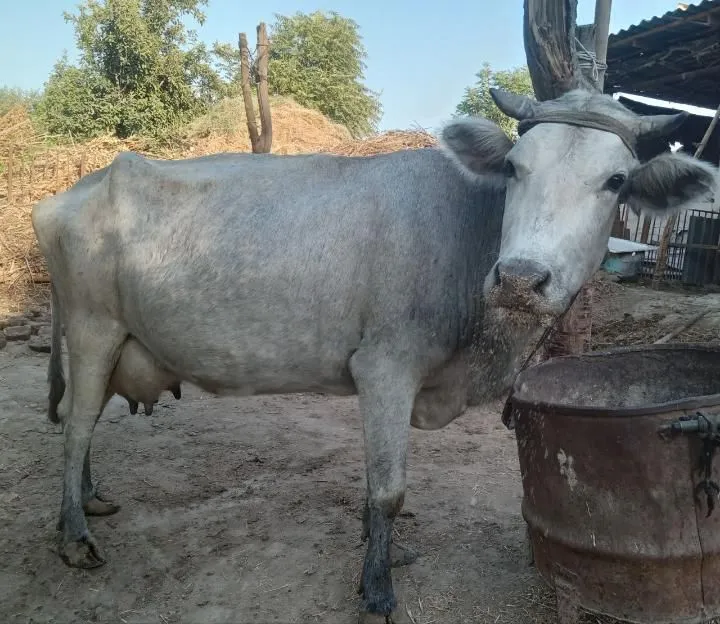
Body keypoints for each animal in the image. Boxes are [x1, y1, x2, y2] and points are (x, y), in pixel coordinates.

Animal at [31, 87, 716, 623]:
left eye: (616, 181)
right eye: (516, 169)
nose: (521, 278)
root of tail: (73, 191)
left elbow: (376, 487)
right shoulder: (385, 367)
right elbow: (388, 489)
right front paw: (378, 590)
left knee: (85, 424)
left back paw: (90, 500)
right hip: (92, 329)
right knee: (75, 428)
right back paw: (73, 535)